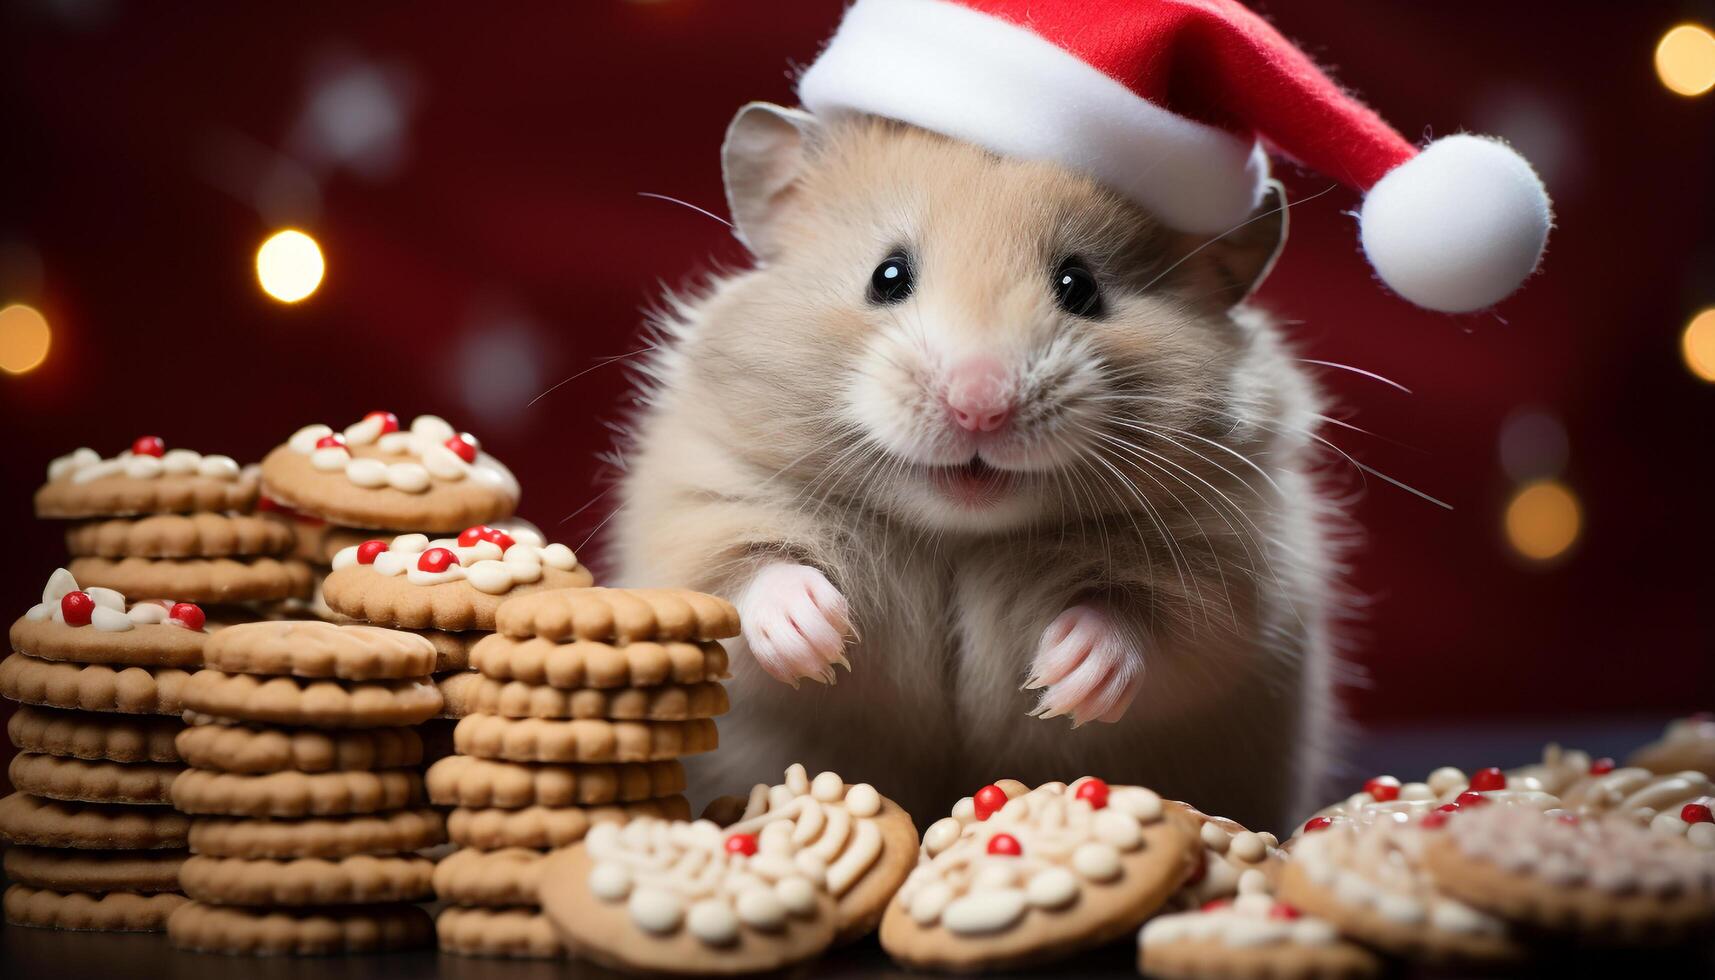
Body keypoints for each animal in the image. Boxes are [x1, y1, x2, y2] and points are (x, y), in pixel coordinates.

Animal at [610, 103, 1344, 830]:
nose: (978, 409)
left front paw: (1061, 680)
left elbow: (1143, 625)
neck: (959, 535)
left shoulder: (1233, 577)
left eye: (1080, 287)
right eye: (887, 276)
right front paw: (817, 637)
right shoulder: (699, 503)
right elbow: (749, 577)